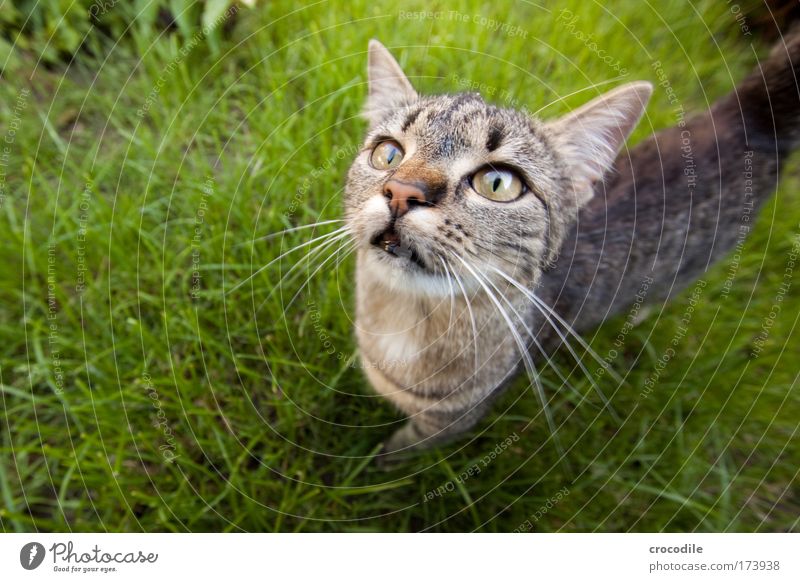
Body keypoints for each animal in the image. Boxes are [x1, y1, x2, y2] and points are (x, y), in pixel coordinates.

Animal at [344, 34, 800, 464]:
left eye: (498, 183)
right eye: (388, 154)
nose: (403, 192)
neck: (405, 320)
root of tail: (746, 118)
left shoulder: (451, 421)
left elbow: (403, 449)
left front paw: (379, 464)